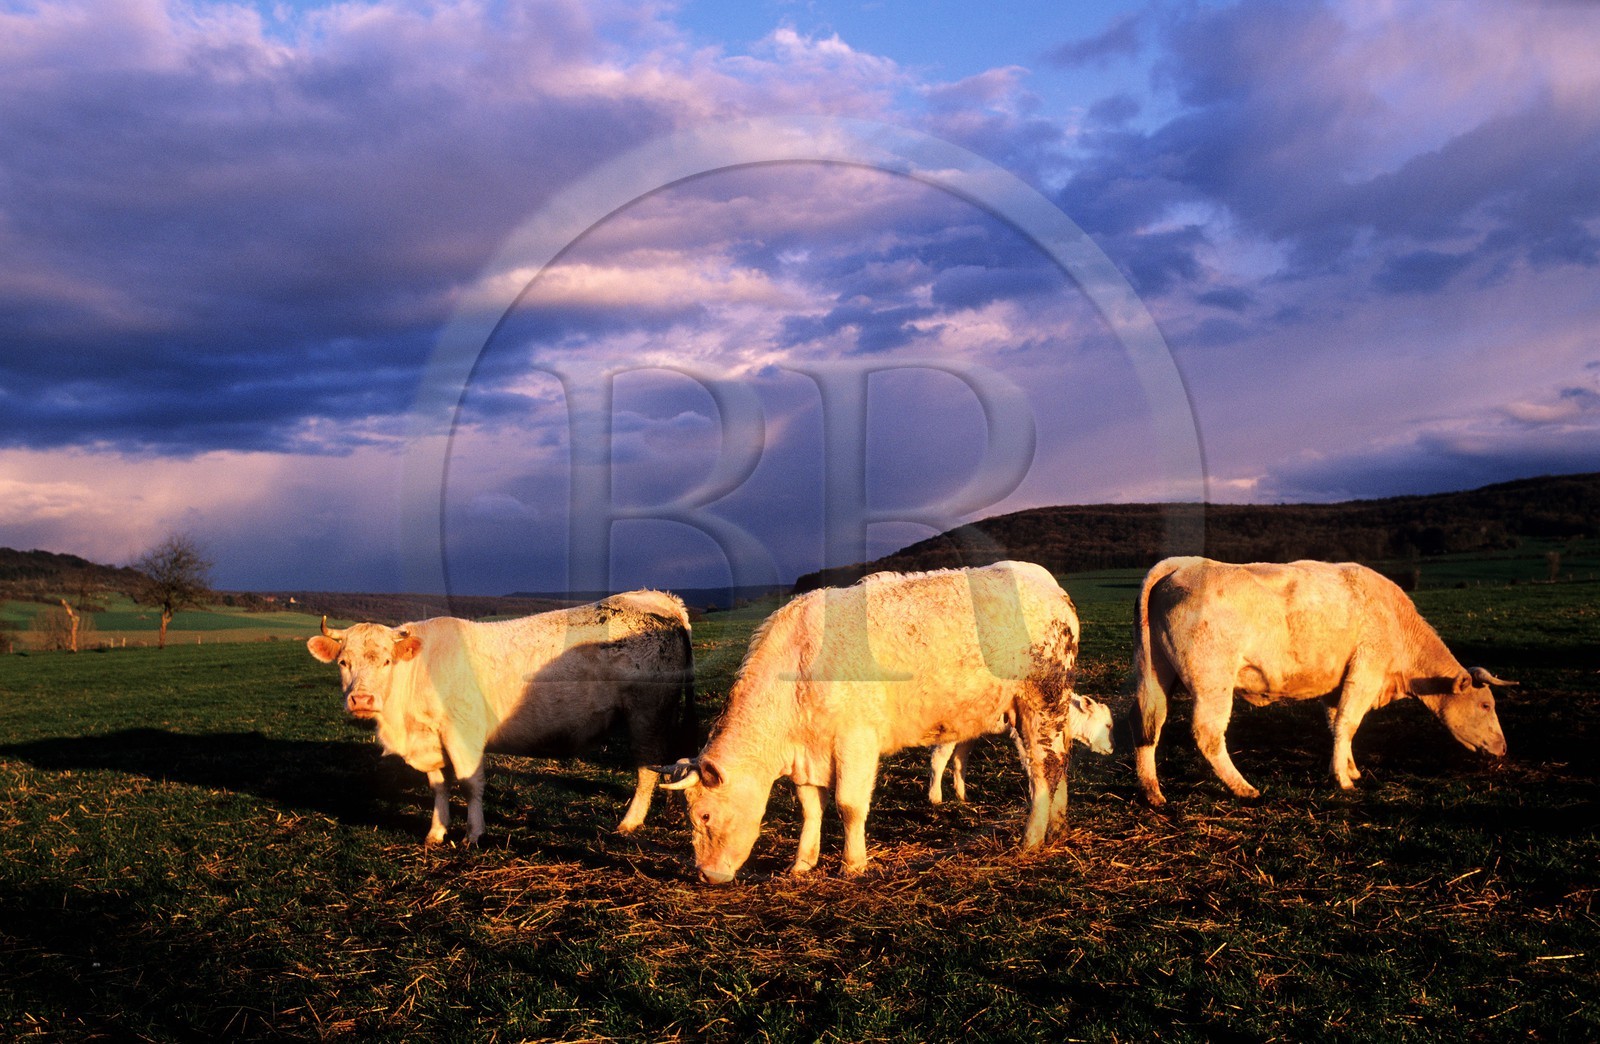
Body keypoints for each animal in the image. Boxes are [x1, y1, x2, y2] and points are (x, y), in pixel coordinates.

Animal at [306, 590, 694, 845]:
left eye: (386, 661)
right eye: (343, 662)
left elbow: (469, 784)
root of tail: (657, 598)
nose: (361, 699)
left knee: (646, 771)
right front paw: (436, 832)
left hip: (646, 715)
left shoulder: (463, 734)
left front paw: (474, 834)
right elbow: (439, 786)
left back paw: (629, 822)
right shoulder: (432, 740)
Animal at [655, 561, 1108, 883]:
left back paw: (1031, 839)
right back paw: (1058, 827)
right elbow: (811, 809)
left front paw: (853, 864)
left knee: (1043, 769)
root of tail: (1049, 585)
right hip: (1045, 710)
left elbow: (849, 805)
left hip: (1041, 700)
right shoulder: (808, 754)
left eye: (704, 816)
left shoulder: (855, 740)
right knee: (1058, 761)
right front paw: (802, 864)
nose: (705, 875)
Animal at [1131, 557, 1513, 806]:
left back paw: (1153, 793)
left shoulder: (1337, 684)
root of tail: (1184, 564)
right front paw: (1343, 780)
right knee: (1208, 734)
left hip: (1158, 675)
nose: (1504, 749)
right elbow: (1348, 723)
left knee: (1149, 725)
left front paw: (1350, 769)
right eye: (1485, 704)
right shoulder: (1365, 671)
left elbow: (1337, 725)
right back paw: (1243, 787)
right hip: (1213, 681)